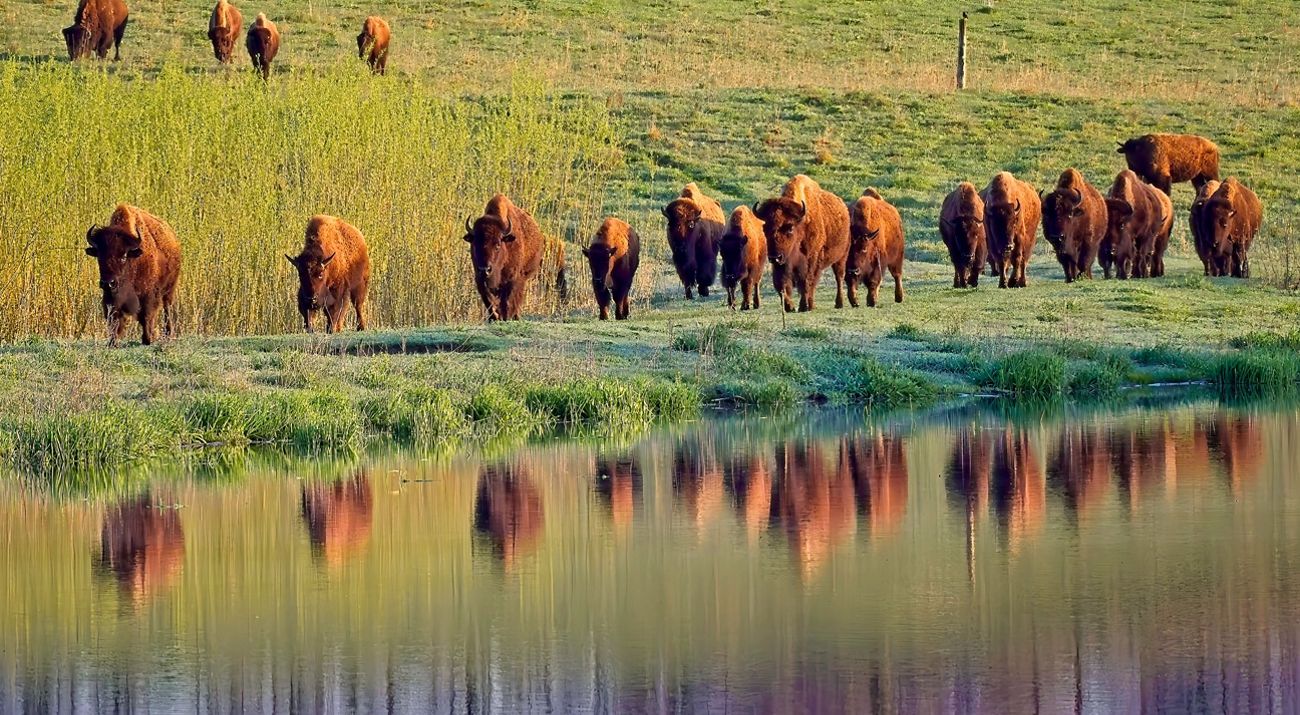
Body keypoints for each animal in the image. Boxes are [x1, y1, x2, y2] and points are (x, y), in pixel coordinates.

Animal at [83, 204, 181, 346]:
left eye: (124, 256)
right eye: (99, 256)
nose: (108, 283)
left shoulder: (148, 294)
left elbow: (146, 315)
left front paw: (147, 339)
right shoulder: (111, 297)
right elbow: (113, 318)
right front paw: (112, 342)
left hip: (169, 289)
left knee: (166, 309)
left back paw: (168, 334)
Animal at [754, 174, 850, 312]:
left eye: (790, 228)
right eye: (764, 228)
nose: (774, 257)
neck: (800, 225)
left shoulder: (811, 259)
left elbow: (806, 282)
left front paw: (804, 305)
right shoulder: (782, 263)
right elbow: (781, 284)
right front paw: (790, 306)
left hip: (841, 257)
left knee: (839, 278)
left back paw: (838, 303)